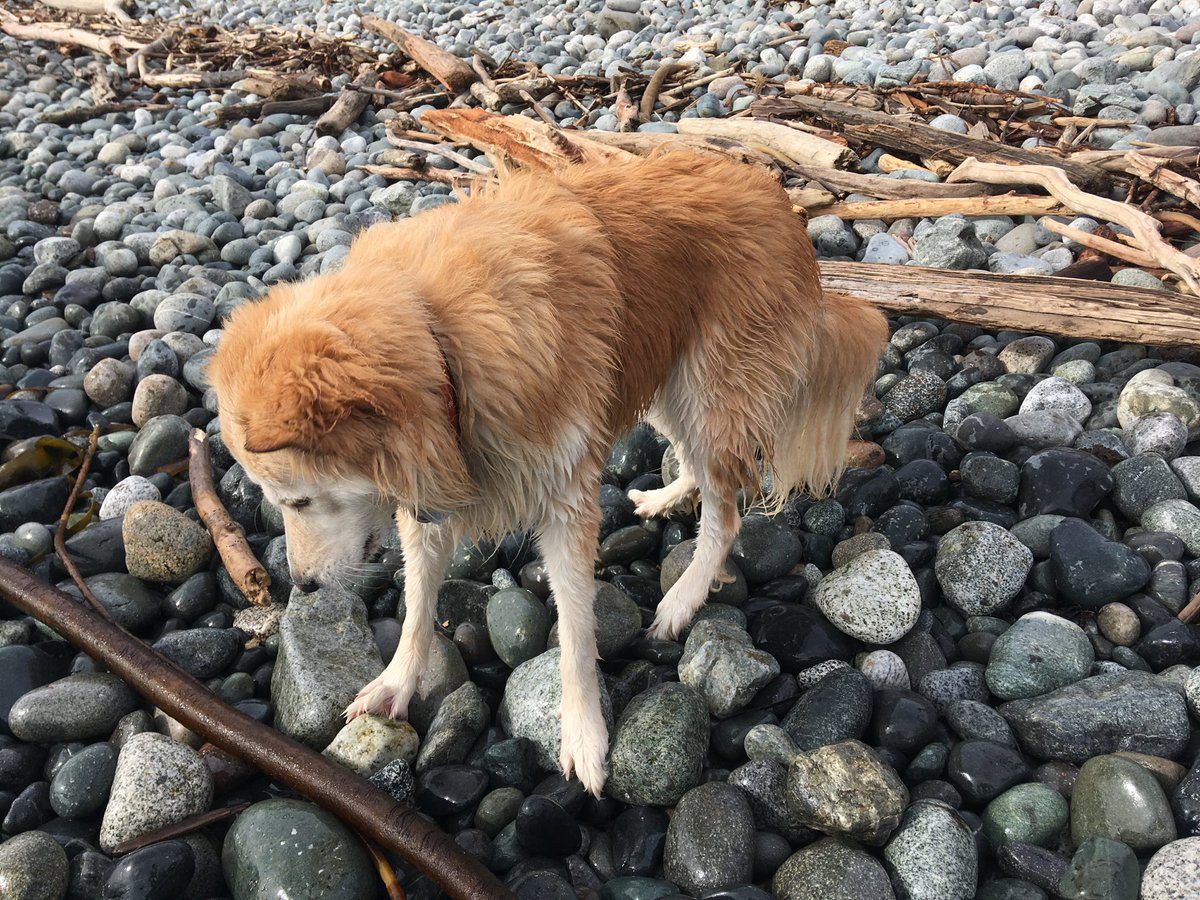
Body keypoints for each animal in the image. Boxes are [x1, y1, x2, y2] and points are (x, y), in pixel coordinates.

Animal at [206, 151, 888, 801]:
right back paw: (667, 495)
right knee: (696, 465)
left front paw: (584, 734)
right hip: (665, 378)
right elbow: (419, 600)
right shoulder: (428, 497)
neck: (439, 341)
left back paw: (682, 598)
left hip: (712, 391)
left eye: (297, 501)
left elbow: (576, 631)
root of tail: (777, 198)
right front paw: (396, 681)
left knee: (727, 512)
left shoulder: (560, 503)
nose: (301, 586)